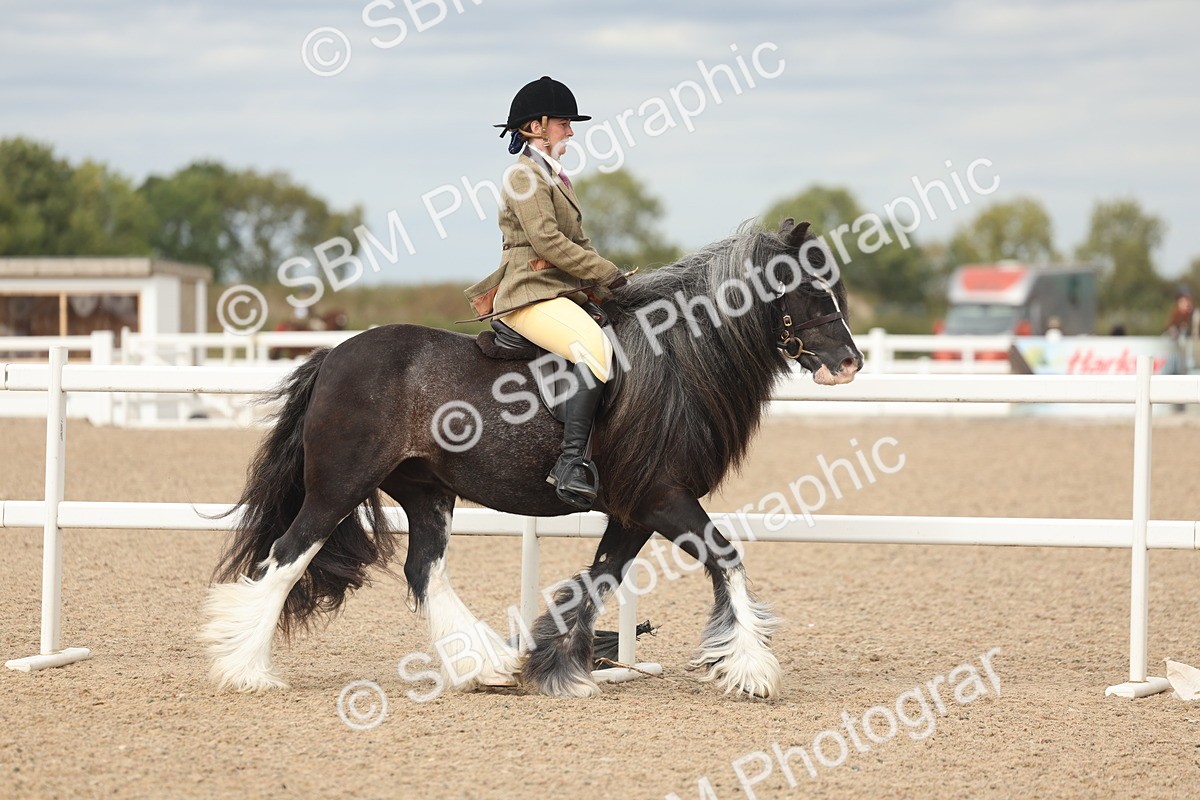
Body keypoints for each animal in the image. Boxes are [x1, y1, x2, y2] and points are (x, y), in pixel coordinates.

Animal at [199, 218, 862, 699]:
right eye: (809, 288)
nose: (850, 362)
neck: (675, 357)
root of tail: (333, 354)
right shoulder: (662, 498)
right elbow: (725, 557)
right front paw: (751, 671)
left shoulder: (634, 511)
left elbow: (596, 581)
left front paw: (555, 666)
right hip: (337, 488)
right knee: (285, 558)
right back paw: (247, 670)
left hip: (426, 490)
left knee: (424, 569)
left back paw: (485, 666)